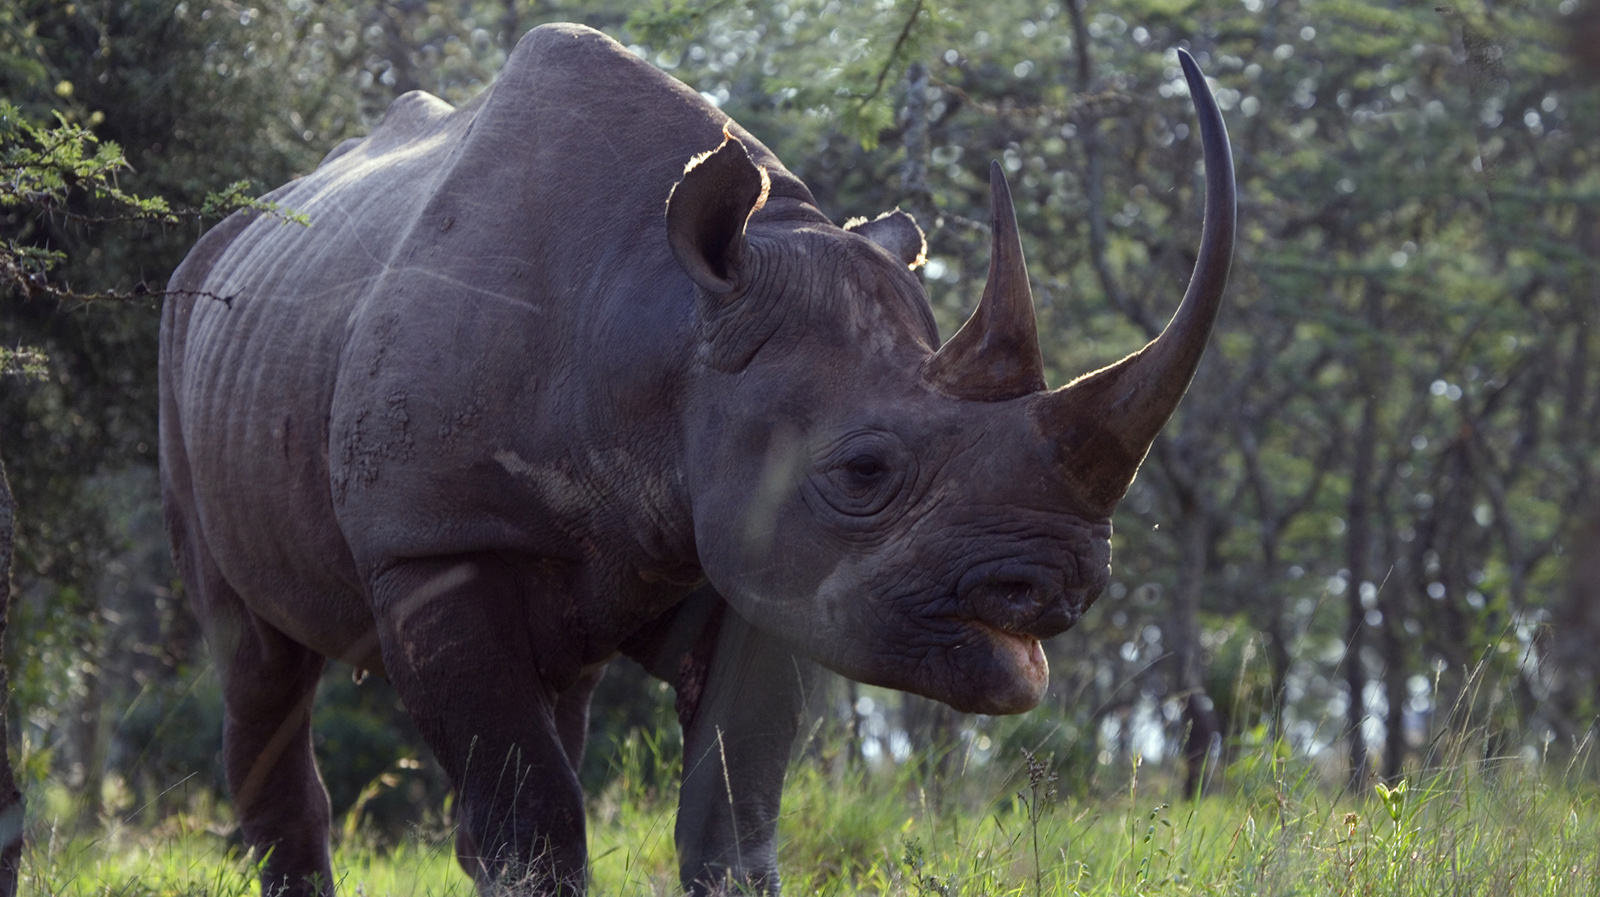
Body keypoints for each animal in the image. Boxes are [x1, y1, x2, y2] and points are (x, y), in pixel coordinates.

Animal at [159, 22, 1234, 897]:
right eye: (864, 472)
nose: (1060, 585)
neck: (667, 321)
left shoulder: (766, 560)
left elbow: (732, 803)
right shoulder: (434, 541)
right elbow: (534, 812)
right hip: (189, 334)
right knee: (257, 661)